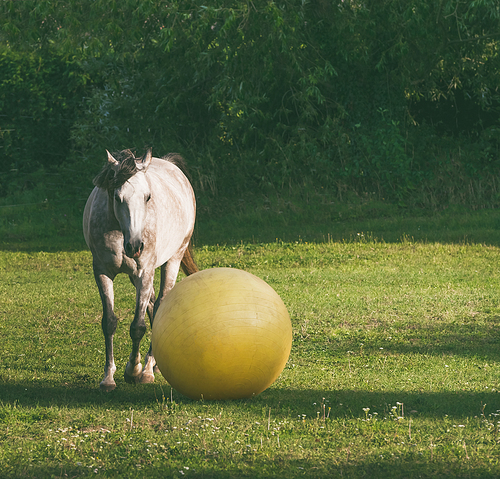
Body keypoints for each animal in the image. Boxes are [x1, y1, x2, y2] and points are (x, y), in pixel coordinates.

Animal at [83, 148, 198, 392]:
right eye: (117, 197)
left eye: (147, 197)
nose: (135, 246)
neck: (119, 232)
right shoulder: (102, 273)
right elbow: (109, 322)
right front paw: (108, 378)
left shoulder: (144, 272)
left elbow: (137, 326)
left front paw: (134, 371)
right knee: (153, 306)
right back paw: (153, 364)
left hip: (172, 260)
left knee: (161, 303)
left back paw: (148, 369)